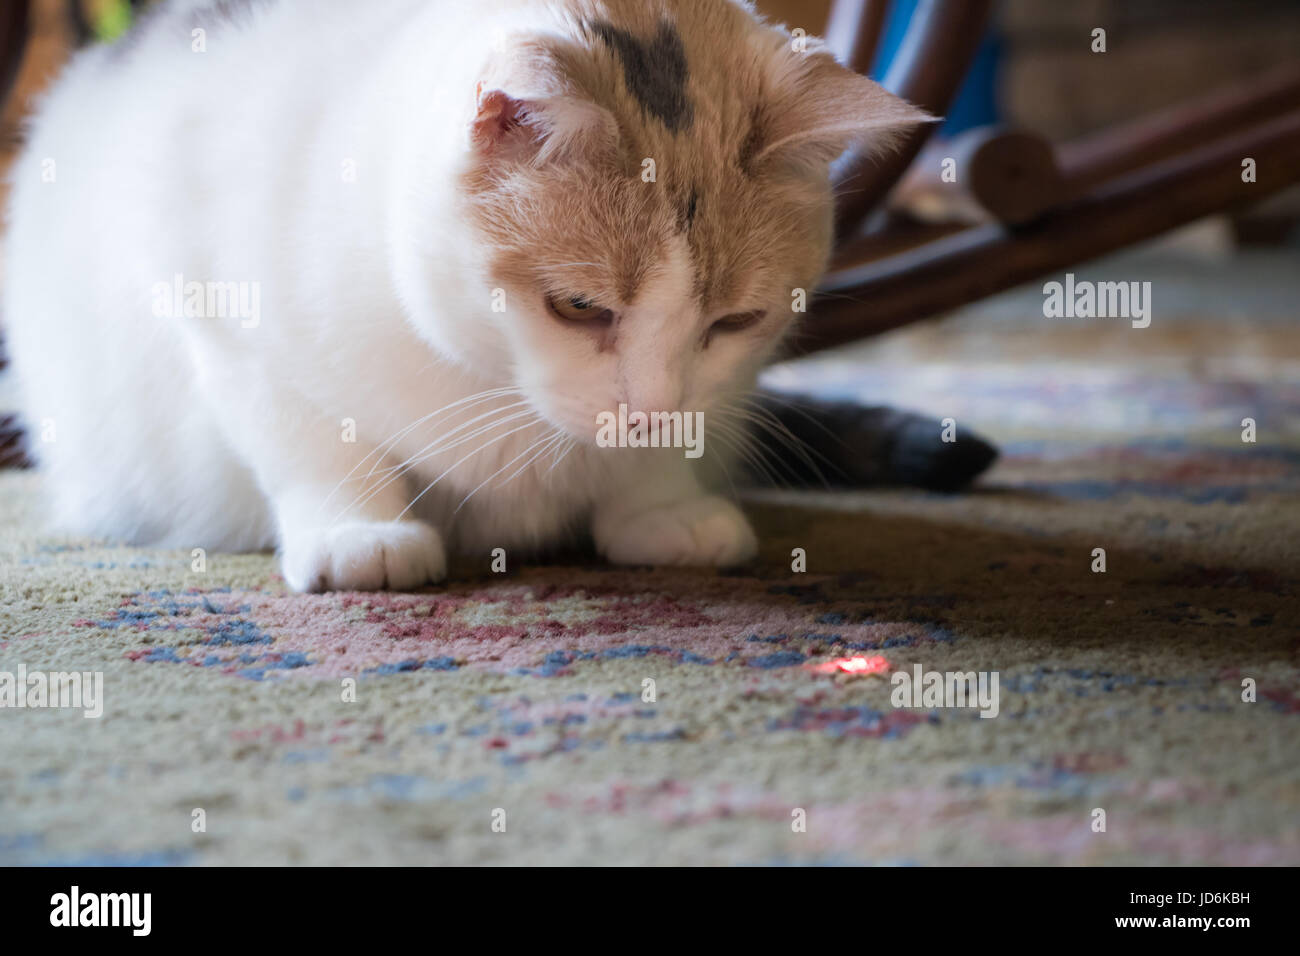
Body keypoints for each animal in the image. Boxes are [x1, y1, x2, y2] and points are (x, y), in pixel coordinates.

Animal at [5, 0, 930, 590]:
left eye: (736, 320)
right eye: (580, 307)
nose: (648, 412)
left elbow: (665, 454)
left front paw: (661, 506)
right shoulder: (224, 317)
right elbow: (317, 441)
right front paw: (359, 532)